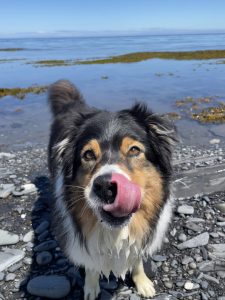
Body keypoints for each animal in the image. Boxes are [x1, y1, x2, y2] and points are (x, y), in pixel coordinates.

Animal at [48, 80, 178, 300]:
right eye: (88, 154)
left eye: (134, 150)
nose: (105, 187)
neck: (115, 233)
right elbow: (91, 265)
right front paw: (91, 287)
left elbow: (137, 259)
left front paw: (142, 282)